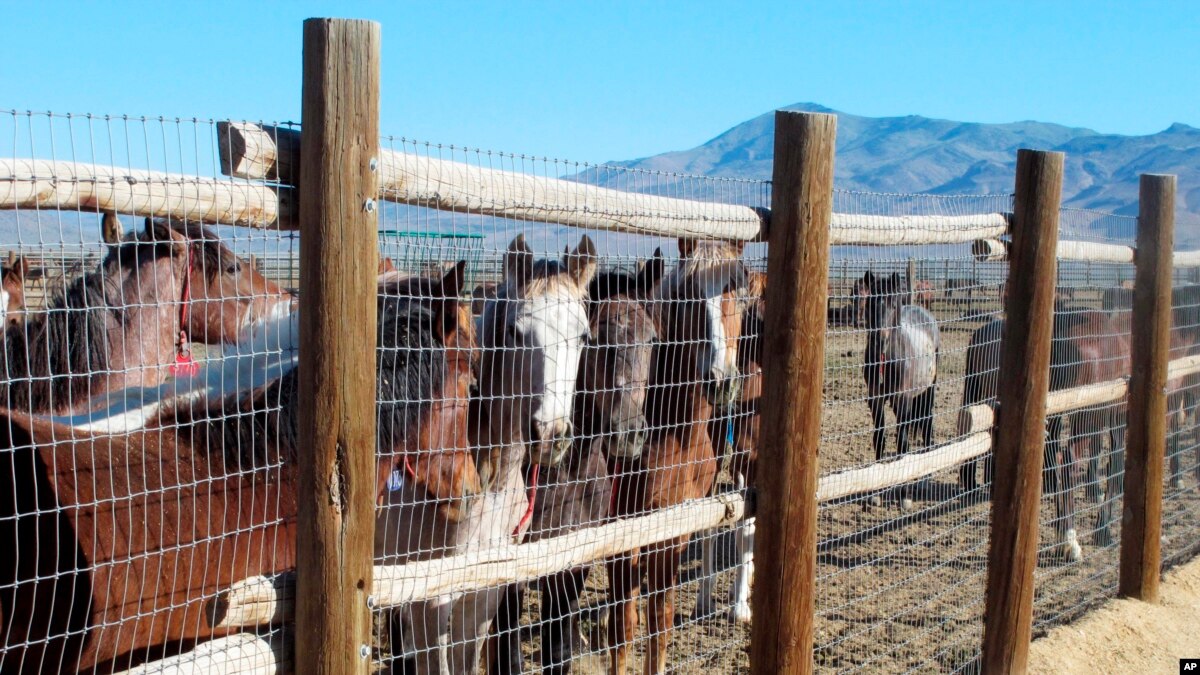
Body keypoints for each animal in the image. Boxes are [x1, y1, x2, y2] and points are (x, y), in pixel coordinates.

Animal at [609, 236, 748, 672]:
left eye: (739, 292)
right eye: (689, 296)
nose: (721, 381)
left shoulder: (676, 524)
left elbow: (661, 621)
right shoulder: (624, 526)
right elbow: (623, 627)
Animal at [864, 270, 936, 506]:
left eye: (893, 305)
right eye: (870, 303)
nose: (880, 340)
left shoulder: (903, 399)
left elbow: (902, 443)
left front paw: (904, 496)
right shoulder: (875, 400)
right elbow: (879, 440)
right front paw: (876, 494)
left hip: (928, 391)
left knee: (927, 425)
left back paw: (924, 479)